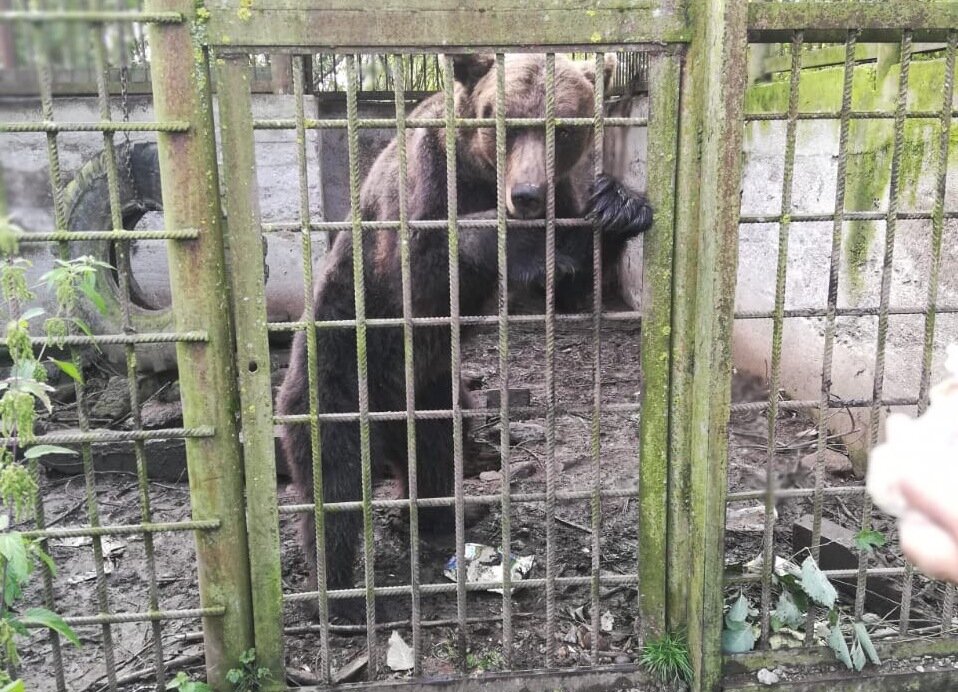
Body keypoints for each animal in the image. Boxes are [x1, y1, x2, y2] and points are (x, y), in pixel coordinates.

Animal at [274, 51, 656, 620]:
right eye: (502, 119)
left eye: (564, 127)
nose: (526, 195)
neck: (481, 175)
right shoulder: (424, 184)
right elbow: (418, 268)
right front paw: (516, 239)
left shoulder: (563, 193)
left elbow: (571, 289)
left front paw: (619, 207)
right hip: (335, 371)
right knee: (333, 484)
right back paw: (340, 594)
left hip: (436, 393)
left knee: (438, 452)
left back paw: (445, 518)